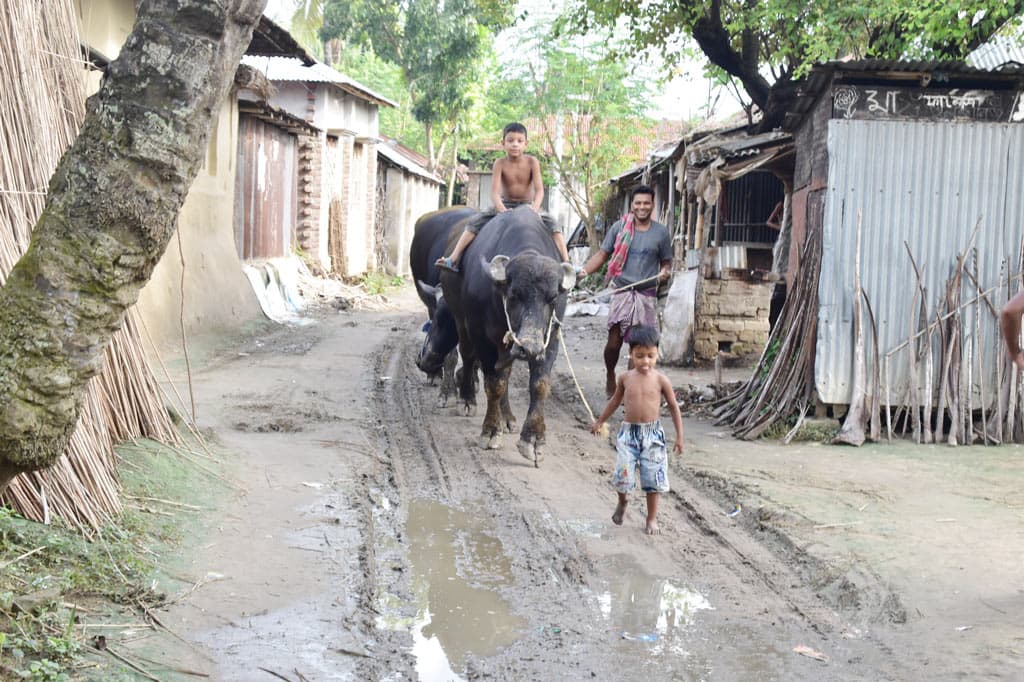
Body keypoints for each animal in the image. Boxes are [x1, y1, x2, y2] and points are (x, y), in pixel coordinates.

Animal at [440, 205, 577, 462]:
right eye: (514, 295)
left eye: (553, 297)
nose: (529, 347)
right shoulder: (482, 337)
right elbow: (494, 383)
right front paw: (491, 431)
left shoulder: (550, 340)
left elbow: (540, 384)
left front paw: (533, 439)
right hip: (461, 320)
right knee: (468, 356)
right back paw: (467, 400)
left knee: (506, 369)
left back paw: (508, 418)